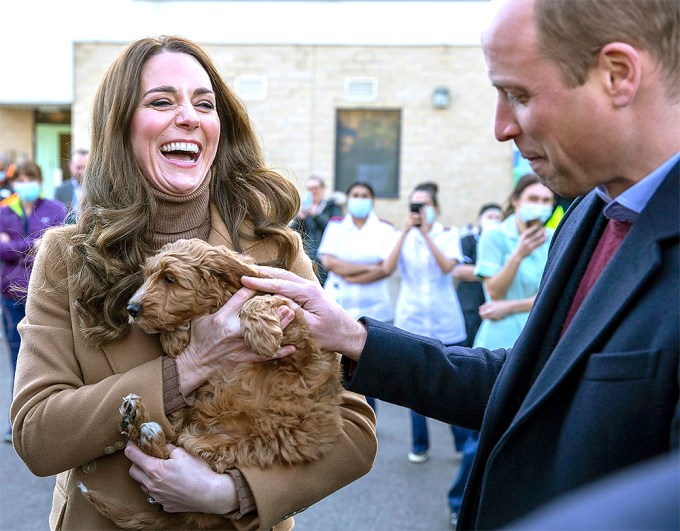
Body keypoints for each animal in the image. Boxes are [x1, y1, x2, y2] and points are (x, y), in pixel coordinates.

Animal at [80, 239, 342, 528]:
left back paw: (141, 426)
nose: (132, 309)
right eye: (148, 276)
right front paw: (176, 336)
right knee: (167, 441)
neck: (216, 304)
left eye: (169, 279)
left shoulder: (301, 342)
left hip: (221, 448)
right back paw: (137, 420)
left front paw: (262, 335)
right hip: (195, 430)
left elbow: (262, 300)